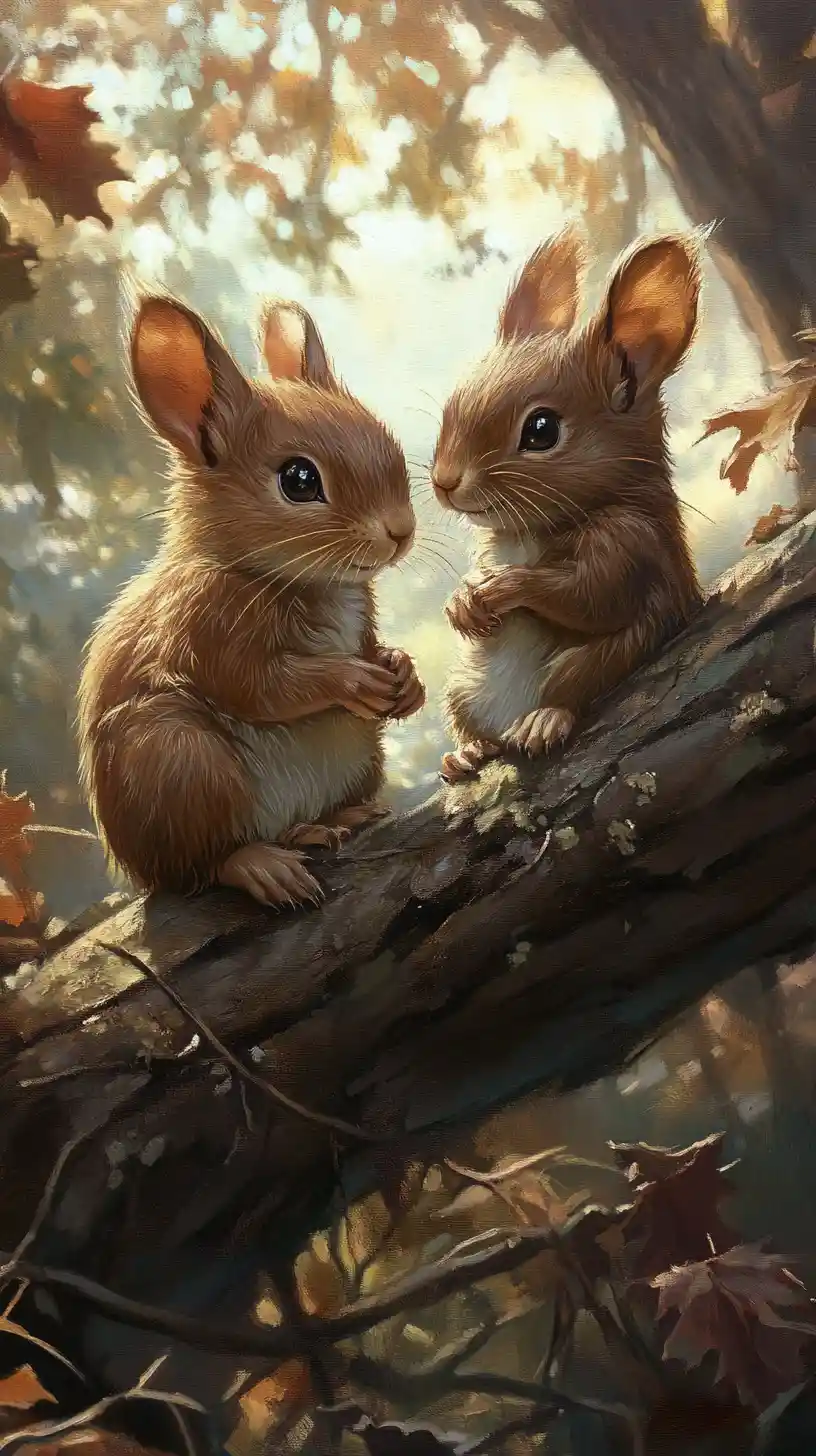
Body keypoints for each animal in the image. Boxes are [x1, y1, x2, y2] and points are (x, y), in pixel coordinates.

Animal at [77, 293, 425, 906]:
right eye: (299, 480)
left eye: (384, 437)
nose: (401, 531)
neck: (305, 580)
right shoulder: (201, 625)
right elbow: (259, 687)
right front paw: (351, 679)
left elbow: (370, 648)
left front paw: (402, 674)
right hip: (178, 762)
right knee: (200, 866)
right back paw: (263, 864)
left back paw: (337, 819)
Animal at [430, 225, 703, 782]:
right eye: (453, 402)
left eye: (541, 431)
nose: (443, 482)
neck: (526, 532)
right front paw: (462, 600)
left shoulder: (630, 540)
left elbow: (593, 596)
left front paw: (505, 587)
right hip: (462, 688)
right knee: (470, 727)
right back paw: (466, 753)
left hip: (592, 662)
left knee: (569, 688)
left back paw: (542, 721)